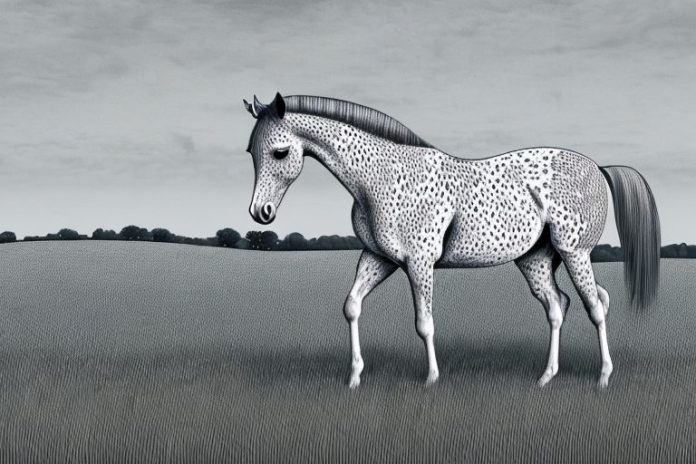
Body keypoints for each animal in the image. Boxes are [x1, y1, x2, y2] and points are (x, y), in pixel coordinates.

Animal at [242, 92, 660, 389]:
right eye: (250, 150)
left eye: (280, 152)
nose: (260, 212)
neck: (383, 176)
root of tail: (598, 167)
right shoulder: (377, 258)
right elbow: (352, 306)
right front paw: (354, 377)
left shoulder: (419, 263)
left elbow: (424, 322)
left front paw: (431, 379)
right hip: (537, 260)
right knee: (559, 306)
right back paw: (546, 377)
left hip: (576, 254)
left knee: (596, 306)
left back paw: (603, 377)